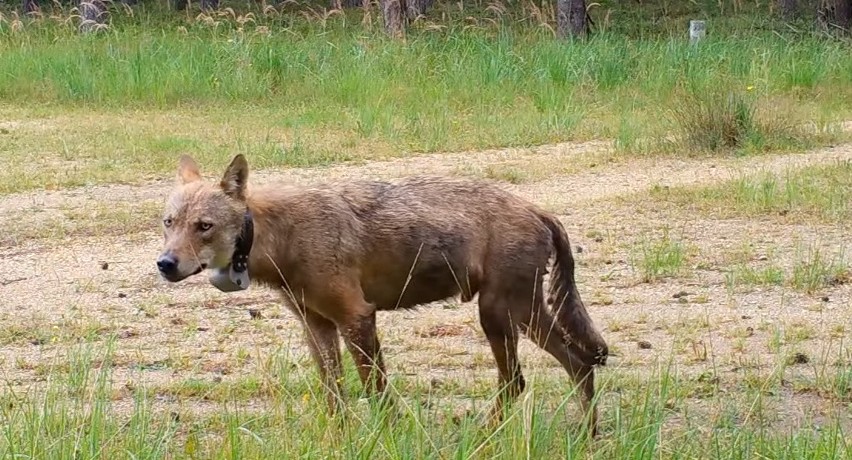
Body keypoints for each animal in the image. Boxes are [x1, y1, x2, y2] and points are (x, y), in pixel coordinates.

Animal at [156, 155, 608, 434]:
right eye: (169, 222)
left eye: (204, 226)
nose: (165, 264)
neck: (281, 237)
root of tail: (539, 210)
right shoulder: (317, 325)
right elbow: (334, 395)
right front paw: (338, 439)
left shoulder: (357, 316)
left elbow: (376, 393)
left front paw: (384, 436)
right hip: (518, 317)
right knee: (575, 365)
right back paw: (584, 437)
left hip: (498, 316)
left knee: (521, 380)